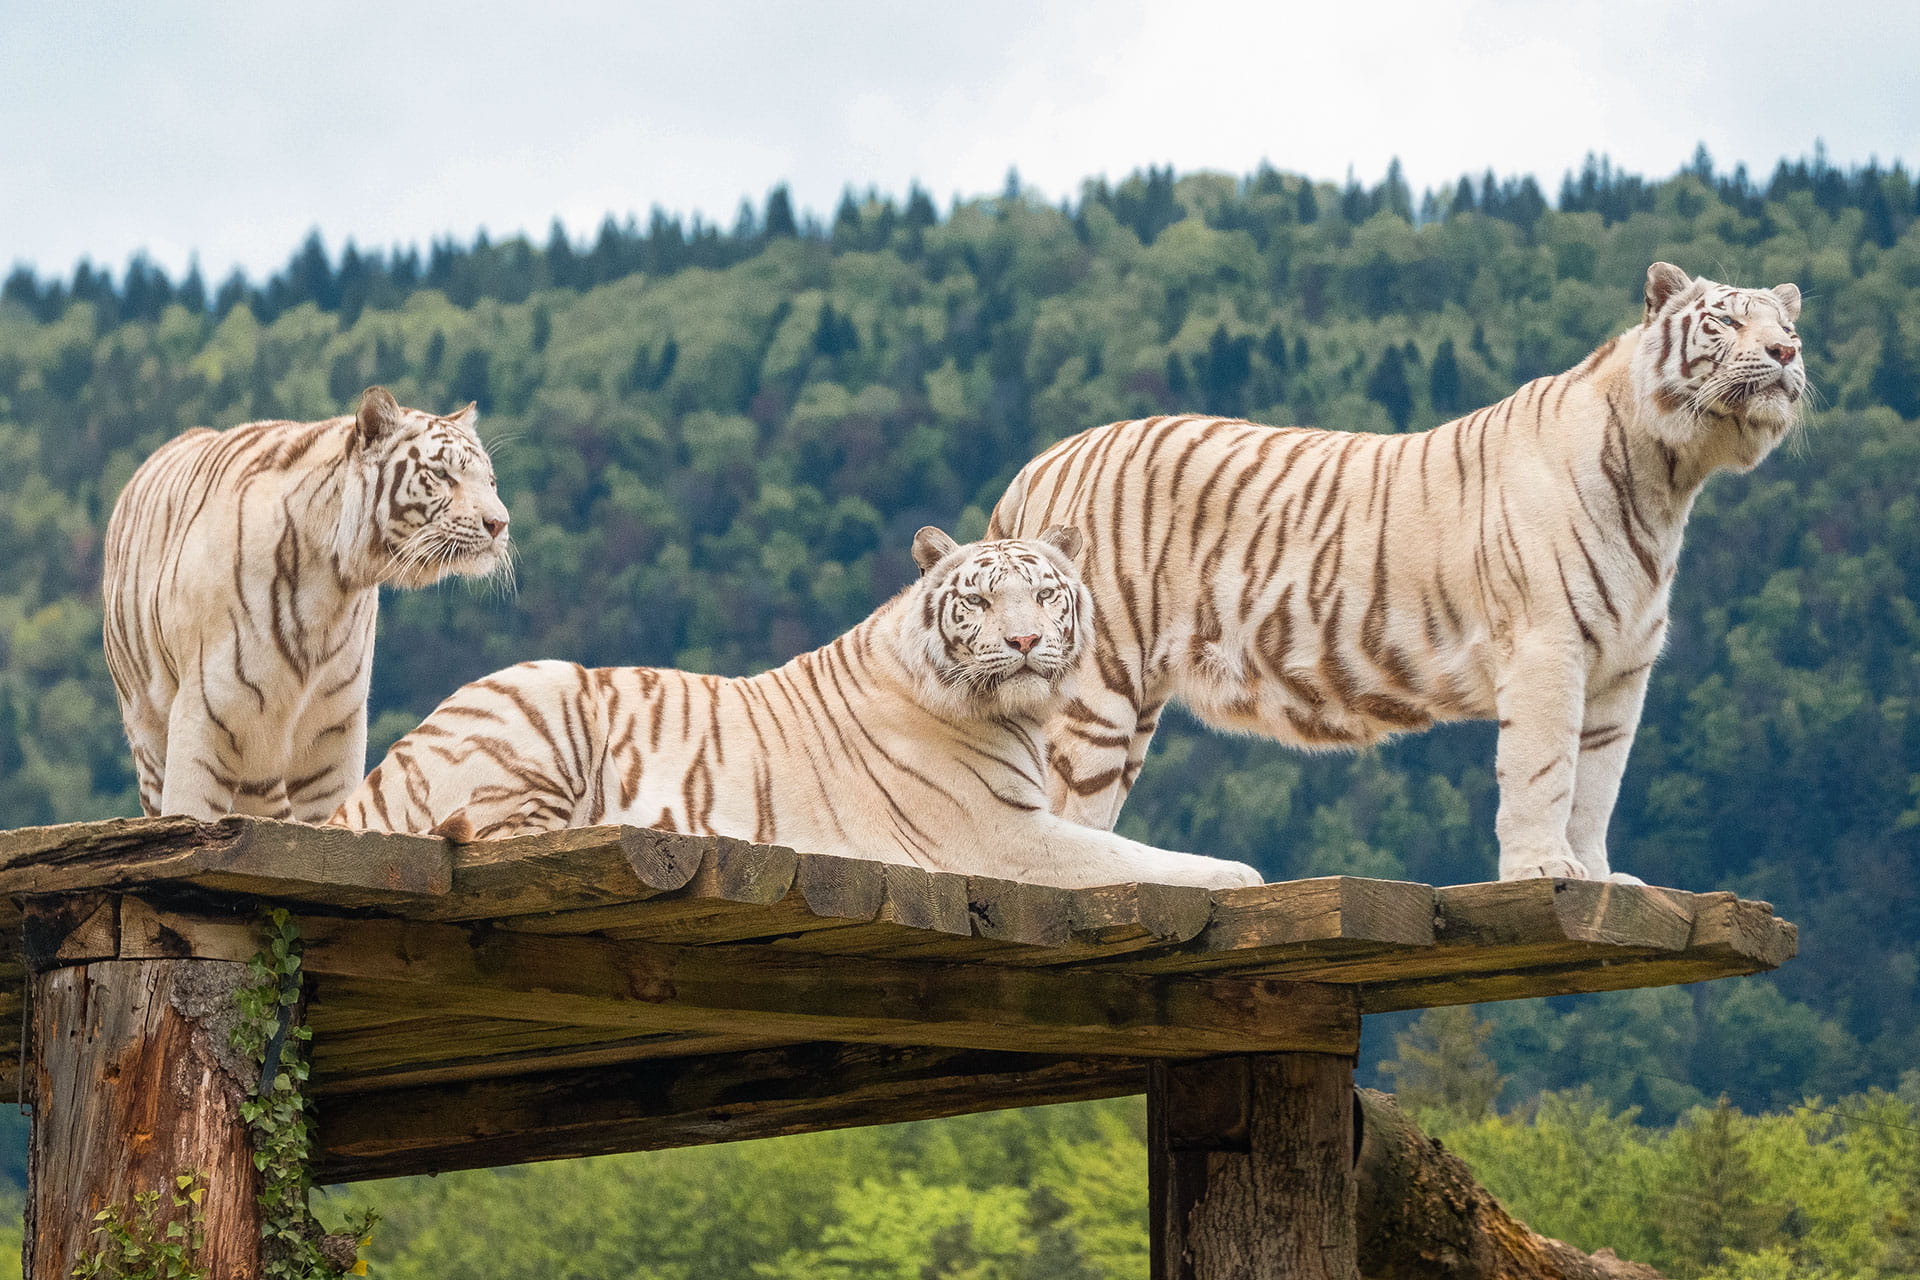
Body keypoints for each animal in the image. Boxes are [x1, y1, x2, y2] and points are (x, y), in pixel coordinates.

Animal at [103, 386, 512, 822]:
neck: (330, 588)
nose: (499, 524)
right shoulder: (203, 716)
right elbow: (191, 813)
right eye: (442, 475)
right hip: (150, 731)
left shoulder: (333, 732)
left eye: (490, 481)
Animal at [329, 526, 1263, 891]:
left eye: (1043, 593)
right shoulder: (1005, 837)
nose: (1028, 641)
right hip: (543, 694)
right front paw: (1246, 877)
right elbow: (1149, 861)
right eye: (980, 601)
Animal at [987, 263, 1806, 884]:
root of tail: (1041, 461)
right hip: (1095, 690)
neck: (1665, 480)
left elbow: (1596, 784)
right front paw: (1546, 872)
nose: (1784, 354)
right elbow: (1545, 772)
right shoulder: (1548, 647)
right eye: (1725, 322)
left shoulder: (1621, 670)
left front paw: (1601, 881)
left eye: (1789, 330)